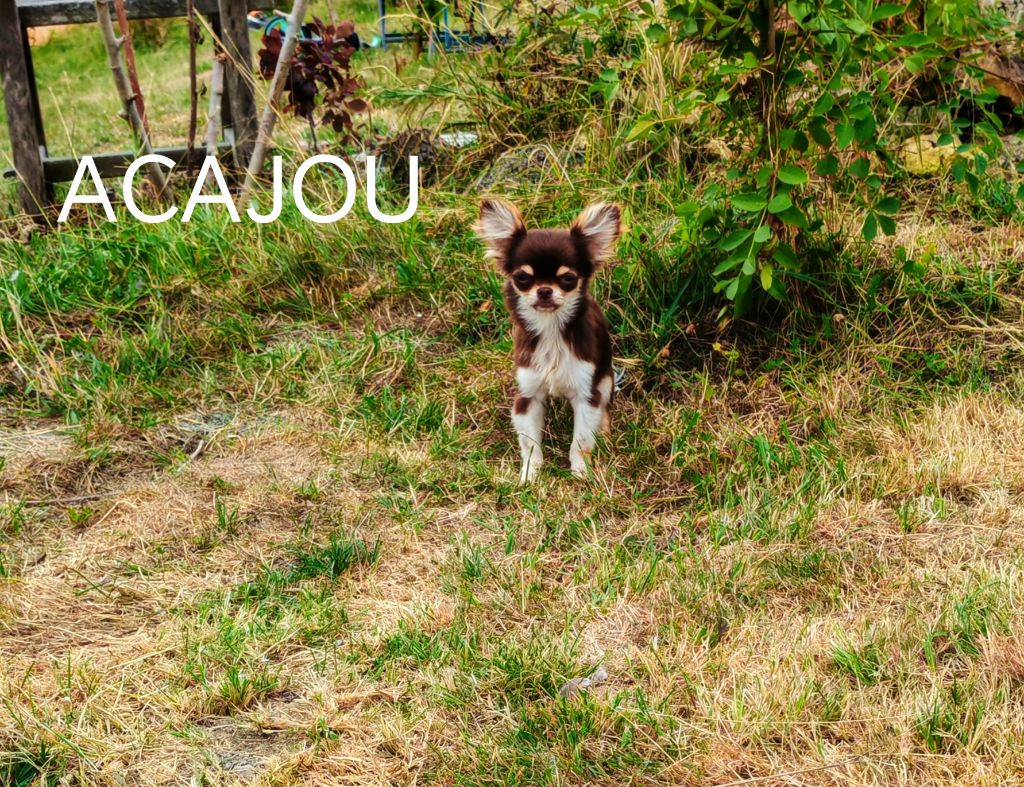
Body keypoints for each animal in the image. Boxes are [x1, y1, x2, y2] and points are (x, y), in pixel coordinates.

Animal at [476, 199, 621, 482]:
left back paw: (605, 431)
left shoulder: (587, 394)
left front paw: (580, 471)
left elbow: (581, 440)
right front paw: (529, 474)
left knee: (605, 405)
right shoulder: (527, 396)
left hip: (605, 379)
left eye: (567, 278)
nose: (544, 290)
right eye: (523, 277)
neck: (551, 329)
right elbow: (529, 442)